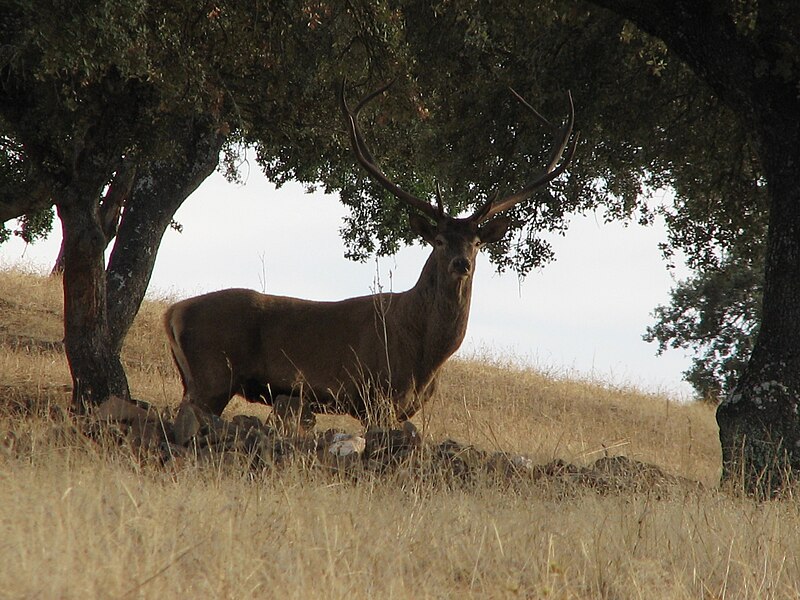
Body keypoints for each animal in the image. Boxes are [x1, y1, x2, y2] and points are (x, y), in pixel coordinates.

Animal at [164, 79, 576, 432]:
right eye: (440, 240)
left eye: (476, 241)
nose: (462, 263)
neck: (425, 355)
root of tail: (172, 313)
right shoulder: (377, 393)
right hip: (212, 375)